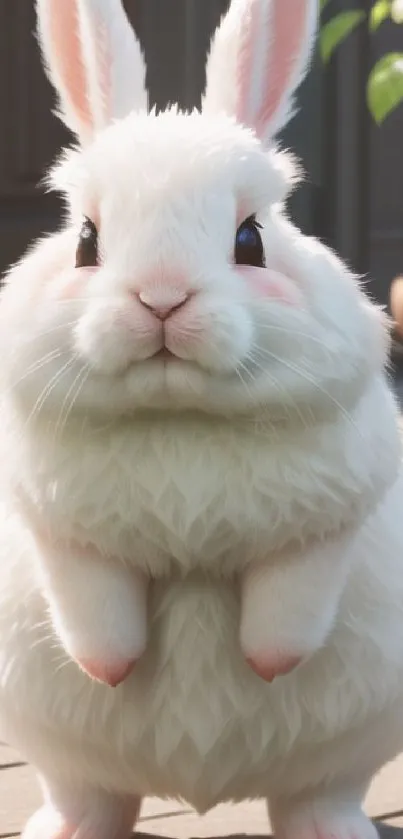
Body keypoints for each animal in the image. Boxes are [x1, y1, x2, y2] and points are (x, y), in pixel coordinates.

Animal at [0, 0, 403, 836]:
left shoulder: (324, 524)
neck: (177, 414)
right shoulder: (62, 533)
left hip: (347, 752)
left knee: (317, 793)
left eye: (250, 239)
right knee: (86, 793)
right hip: (59, 752)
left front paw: (268, 665)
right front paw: (111, 669)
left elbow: (290, 605)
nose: (161, 295)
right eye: (85, 241)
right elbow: (93, 609)